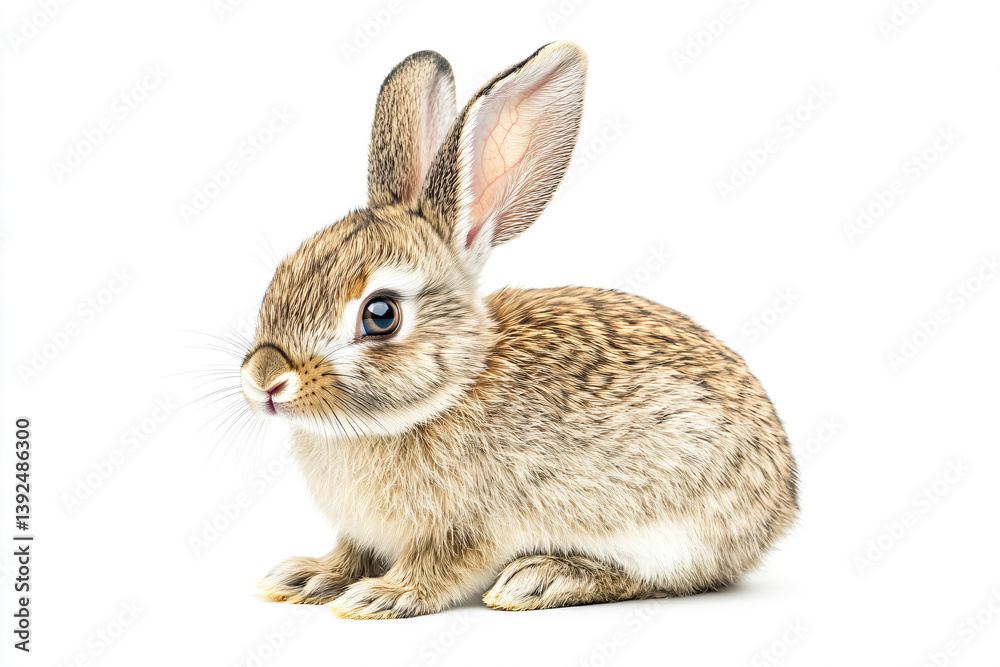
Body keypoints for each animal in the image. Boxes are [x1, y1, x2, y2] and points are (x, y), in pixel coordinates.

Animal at [244, 41, 798, 619]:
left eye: (380, 315)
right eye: (281, 275)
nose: (263, 379)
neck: (444, 395)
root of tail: (782, 502)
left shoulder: (469, 527)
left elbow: (439, 567)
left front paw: (384, 595)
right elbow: (350, 552)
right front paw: (310, 578)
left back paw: (541, 579)